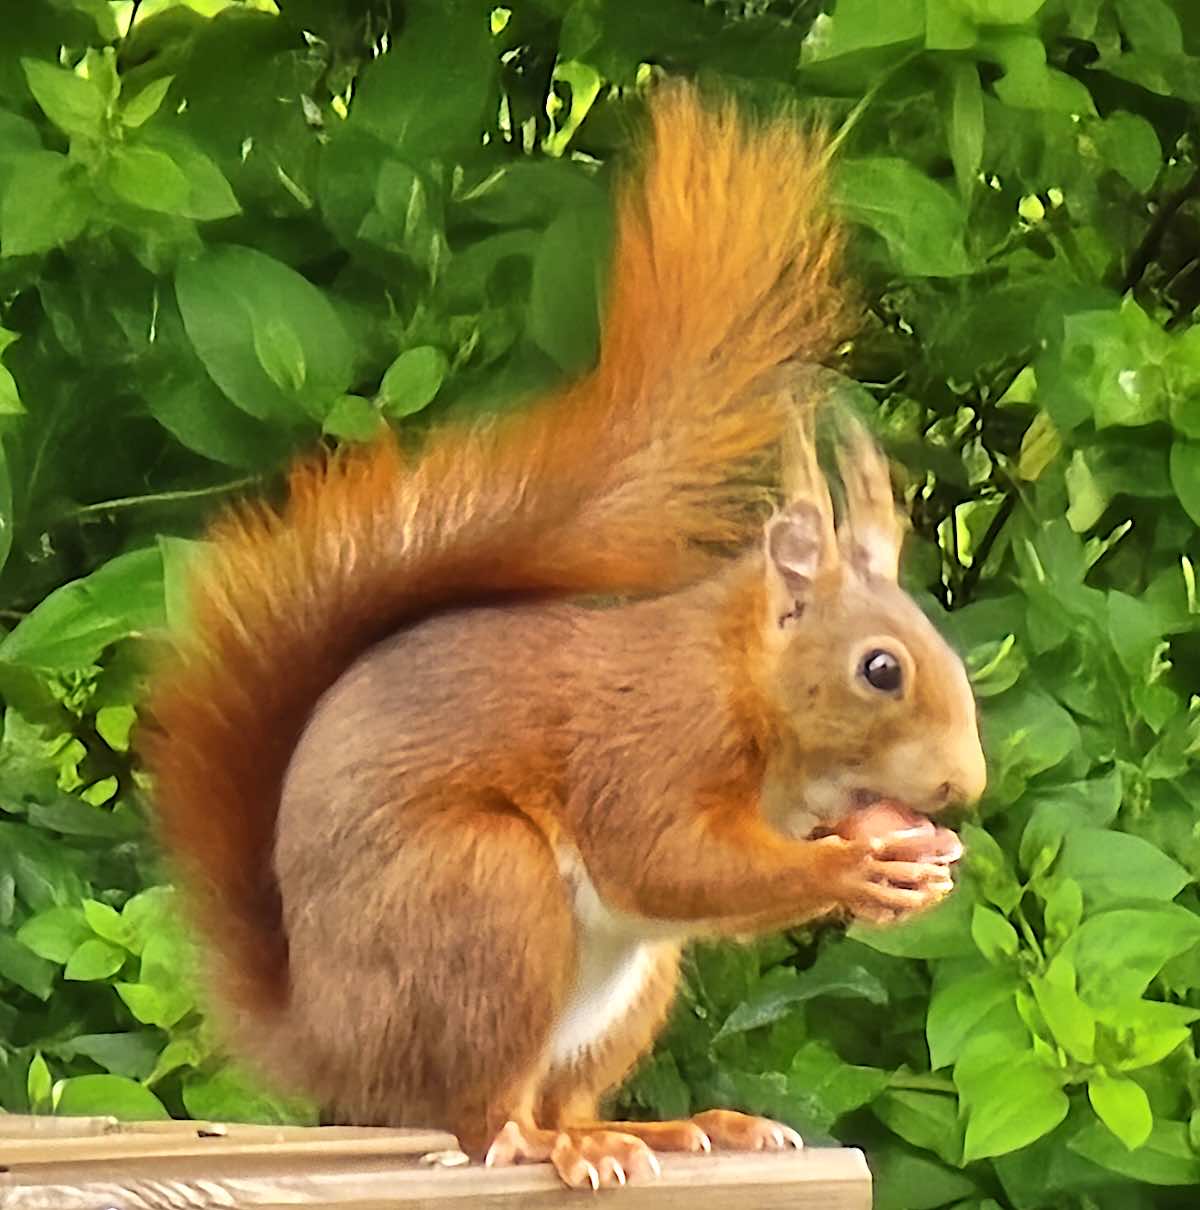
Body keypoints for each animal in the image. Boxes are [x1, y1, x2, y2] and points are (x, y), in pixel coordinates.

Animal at [140, 82, 986, 1190]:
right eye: (880, 670)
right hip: (486, 901)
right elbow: (665, 861)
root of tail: (327, 1037)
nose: (966, 787)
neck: (745, 689)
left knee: (566, 1091)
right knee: (481, 1116)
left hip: (628, 987)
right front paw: (848, 869)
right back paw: (544, 1142)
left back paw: (668, 1129)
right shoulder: (652, 747)